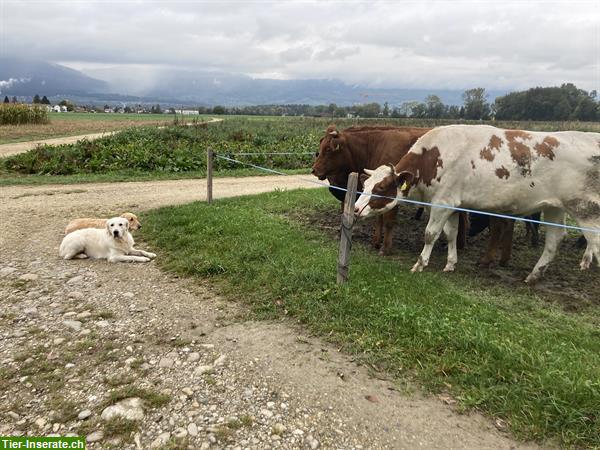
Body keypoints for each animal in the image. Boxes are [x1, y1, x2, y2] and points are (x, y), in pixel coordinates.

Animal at [312, 125, 434, 255]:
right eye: (320, 148)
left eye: (328, 149)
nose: (314, 170)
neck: (375, 147)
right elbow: (378, 219)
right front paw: (376, 241)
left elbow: (388, 221)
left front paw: (385, 248)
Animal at [356, 125, 600, 284]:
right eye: (365, 184)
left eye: (380, 188)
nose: (357, 208)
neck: (434, 157)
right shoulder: (453, 205)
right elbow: (452, 234)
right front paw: (450, 264)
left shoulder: (442, 203)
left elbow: (430, 234)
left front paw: (420, 264)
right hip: (554, 207)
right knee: (554, 239)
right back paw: (534, 275)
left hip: (585, 209)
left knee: (593, 240)